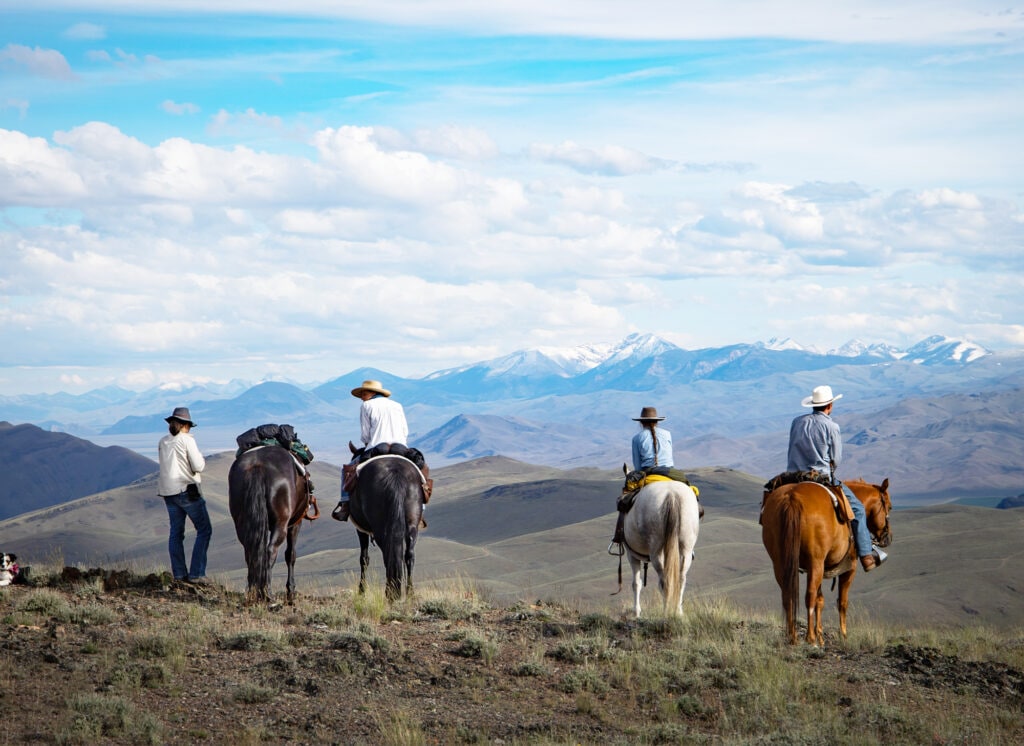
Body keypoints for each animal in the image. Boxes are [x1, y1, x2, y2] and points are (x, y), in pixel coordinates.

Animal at [228, 446, 311, 601]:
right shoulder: (295, 523)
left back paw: (253, 591)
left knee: (250, 550)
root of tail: (257, 465)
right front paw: (291, 590)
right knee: (270, 550)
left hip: (241, 523)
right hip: (281, 523)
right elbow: (291, 554)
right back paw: (267, 593)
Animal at [346, 454, 421, 597]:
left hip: (380, 529)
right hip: (412, 524)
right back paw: (409, 593)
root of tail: (395, 473)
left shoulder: (360, 529)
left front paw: (361, 591)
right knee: (409, 555)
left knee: (388, 554)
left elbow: (364, 559)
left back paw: (390, 592)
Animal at [618, 470, 700, 618]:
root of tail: (671, 494)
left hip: (656, 551)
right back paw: (678, 612)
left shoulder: (631, 555)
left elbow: (636, 583)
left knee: (664, 581)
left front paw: (637, 612)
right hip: (685, 548)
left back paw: (666, 611)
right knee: (681, 579)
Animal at [757, 476, 892, 646]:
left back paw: (793, 637)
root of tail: (792, 497)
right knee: (809, 595)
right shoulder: (849, 568)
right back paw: (810, 638)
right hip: (815, 562)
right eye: (889, 507)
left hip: (782, 563)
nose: (888, 538)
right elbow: (842, 602)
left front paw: (821, 636)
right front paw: (843, 635)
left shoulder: (819, 568)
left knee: (788, 596)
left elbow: (820, 600)